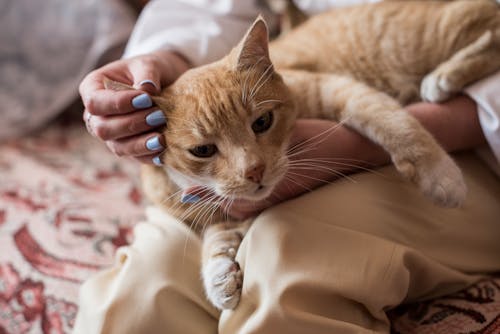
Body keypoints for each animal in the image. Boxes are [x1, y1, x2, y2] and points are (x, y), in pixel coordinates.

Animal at [103, 0, 498, 310]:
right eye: (203, 150)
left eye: (262, 122)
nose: (254, 170)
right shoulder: (211, 210)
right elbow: (216, 236)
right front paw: (218, 276)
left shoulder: (338, 88)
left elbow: (394, 122)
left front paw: (441, 175)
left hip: (428, 35)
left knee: (490, 23)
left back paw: (443, 78)